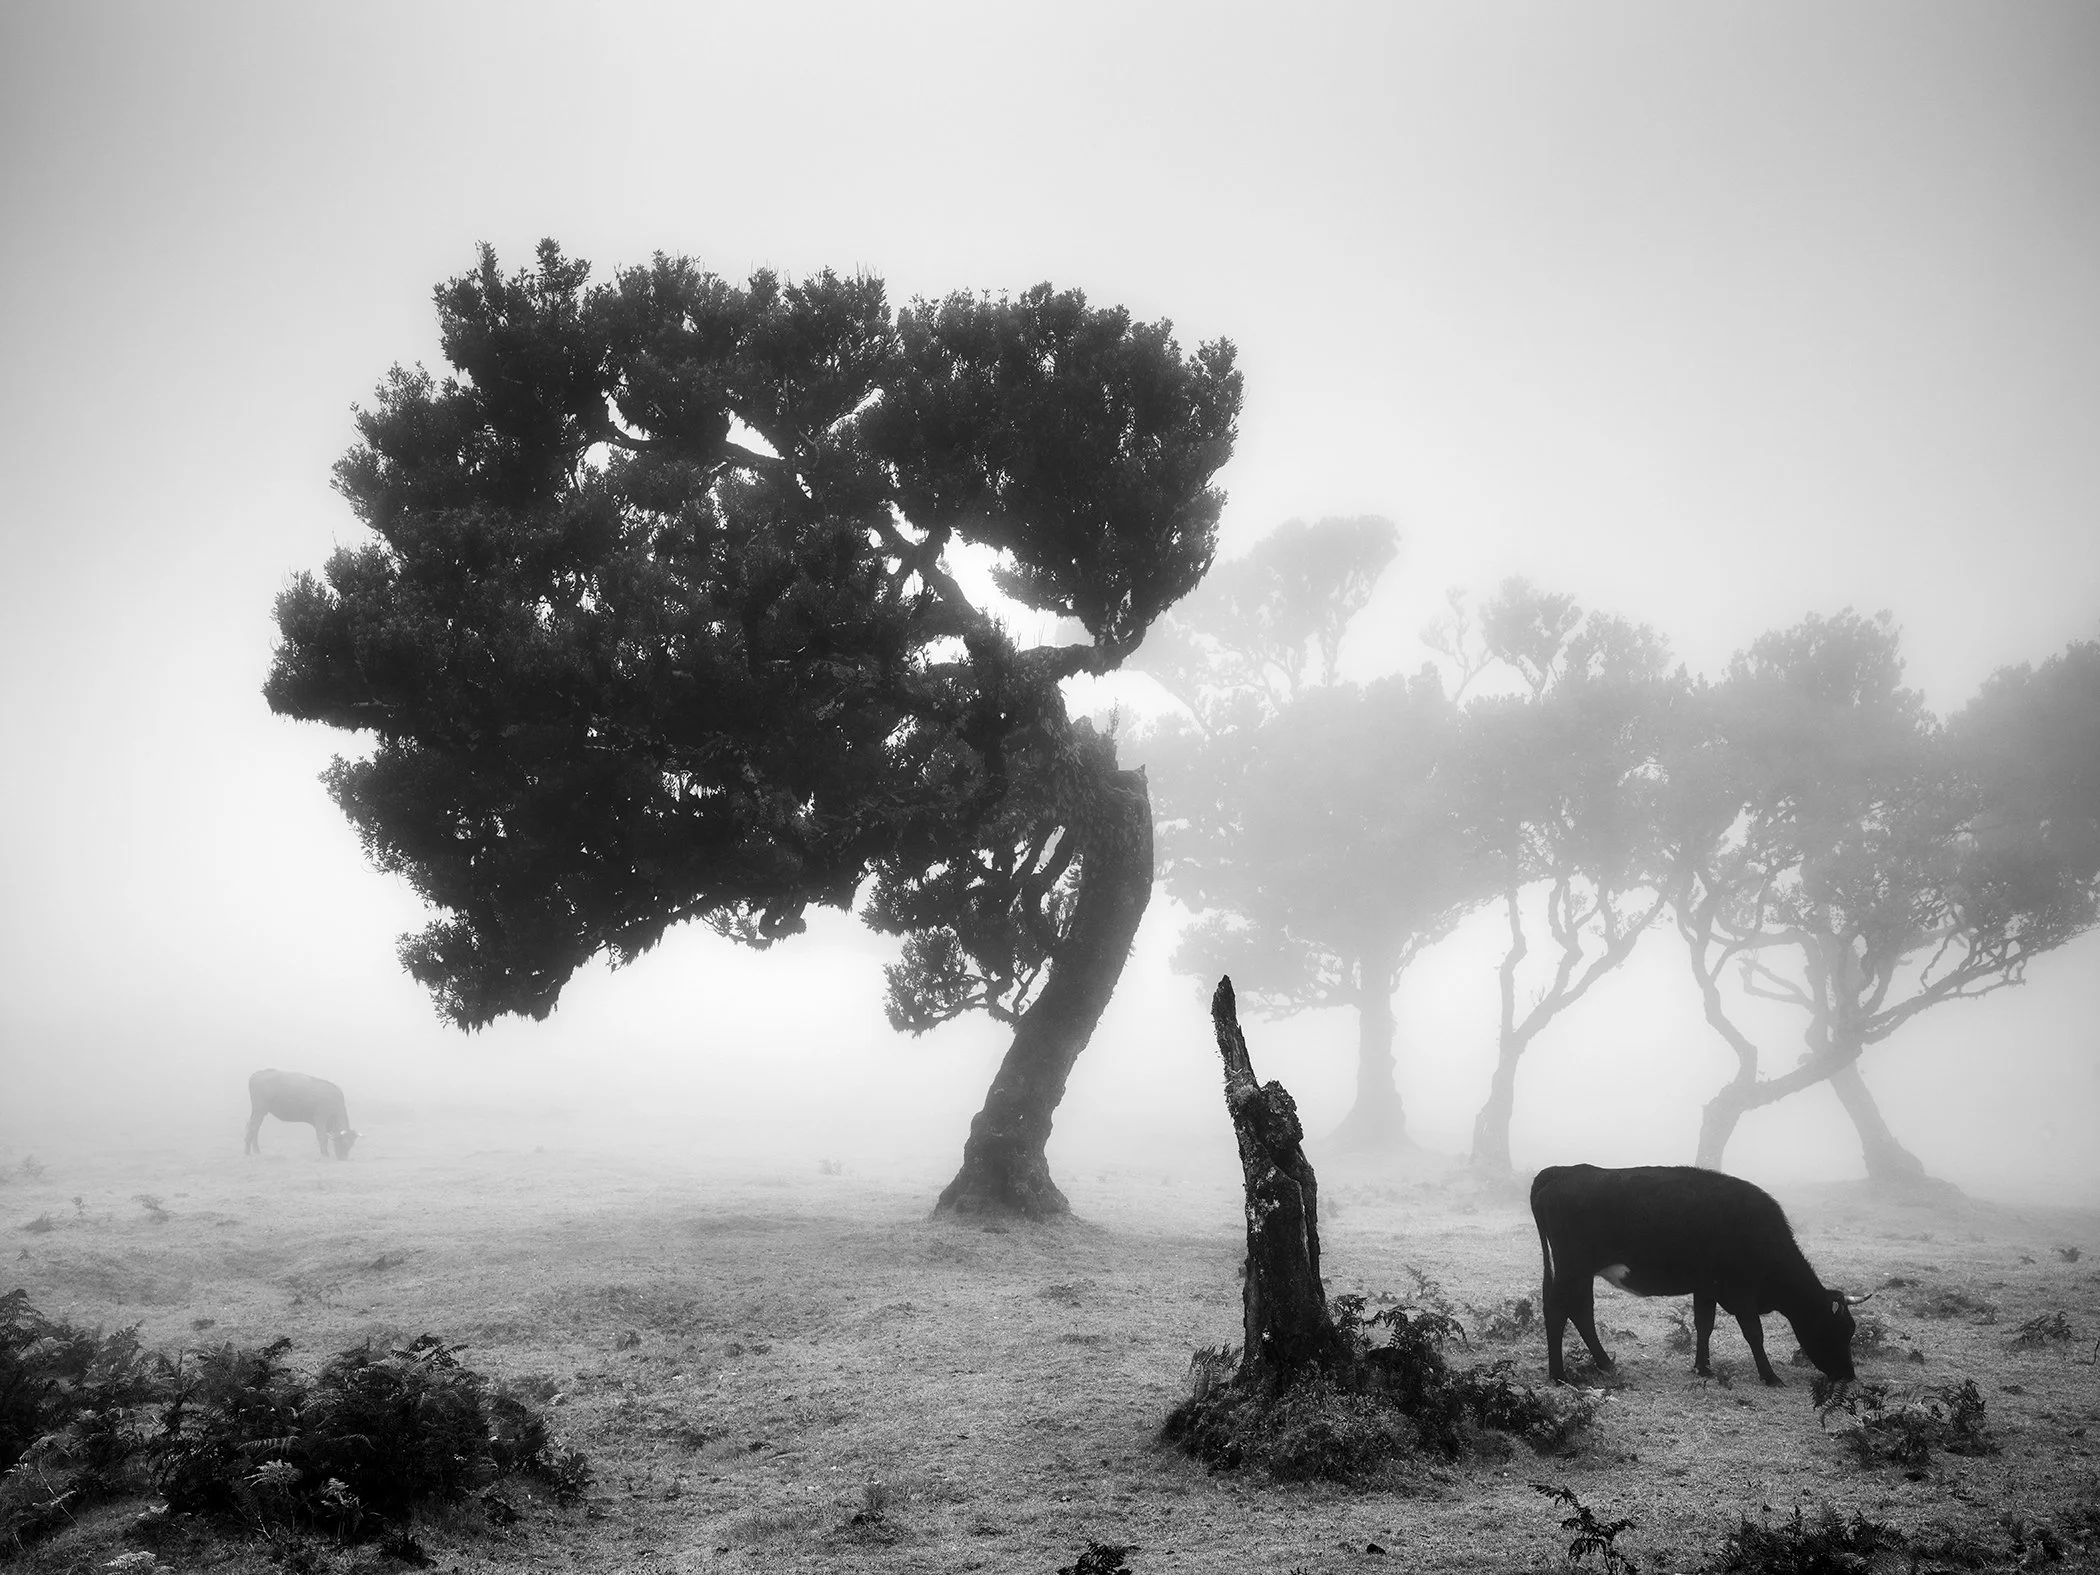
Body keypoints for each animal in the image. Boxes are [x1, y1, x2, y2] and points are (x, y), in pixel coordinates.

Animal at [1531, 1163, 1866, 1387]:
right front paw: (1770, 1376)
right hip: (1572, 1268)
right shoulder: (1741, 1291)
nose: (1848, 1375)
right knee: (1559, 1310)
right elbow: (1754, 1333)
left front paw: (1703, 1367)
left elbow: (1704, 1326)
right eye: (1840, 1330)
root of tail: (1564, 1170)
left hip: (1579, 1272)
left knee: (1580, 1312)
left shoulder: (1706, 1287)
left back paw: (1604, 1363)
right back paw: (1558, 1375)